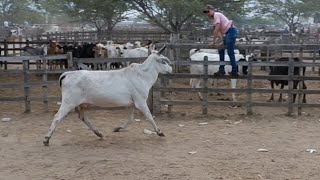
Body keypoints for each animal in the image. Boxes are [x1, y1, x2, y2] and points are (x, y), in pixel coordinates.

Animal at [44, 44, 172, 146]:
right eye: (163, 61)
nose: (171, 69)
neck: (142, 75)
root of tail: (67, 74)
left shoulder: (132, 104)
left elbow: (131, 119)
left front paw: (118, 129)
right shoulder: (140, 102)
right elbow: (150, 117)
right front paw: (160, 132)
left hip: (83, 104)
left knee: (83, 117)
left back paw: (99, 134)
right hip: (68, 103)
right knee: (57, 117)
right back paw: (46, 139)